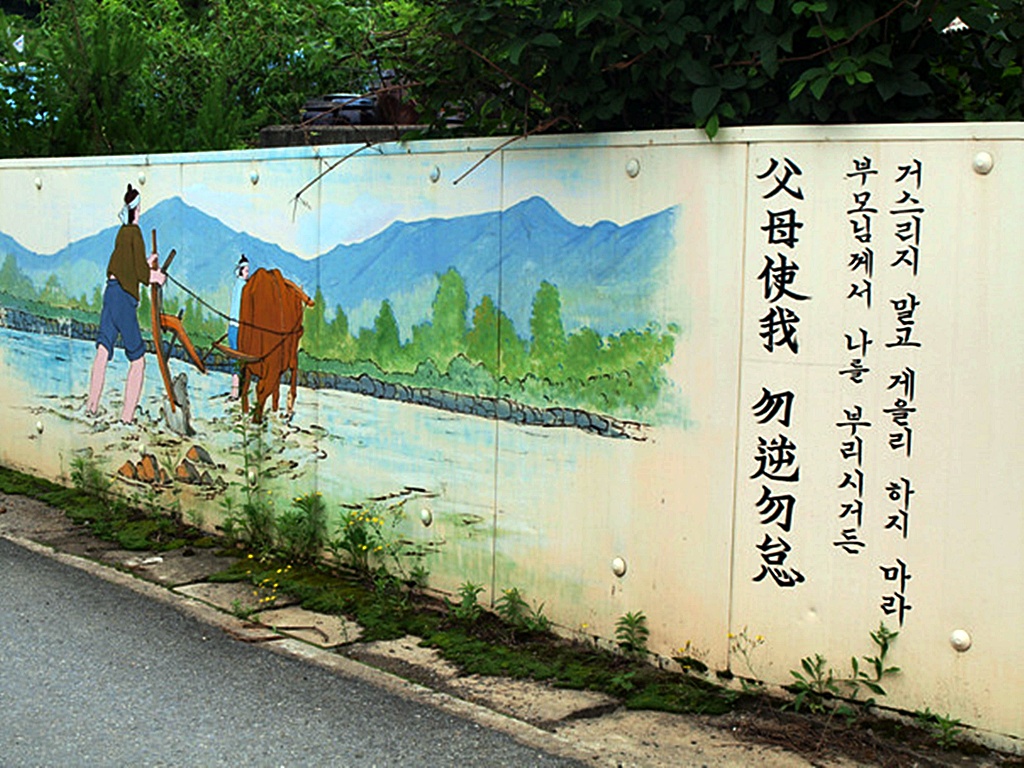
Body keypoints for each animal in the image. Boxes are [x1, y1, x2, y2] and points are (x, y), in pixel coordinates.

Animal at [236, 267, 314, 422]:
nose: (301, 330)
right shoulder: (282, 357)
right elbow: (291, 372)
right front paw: (287, 409)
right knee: (260, 387)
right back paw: (257, 419)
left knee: (246, 384)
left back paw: (247, 413)